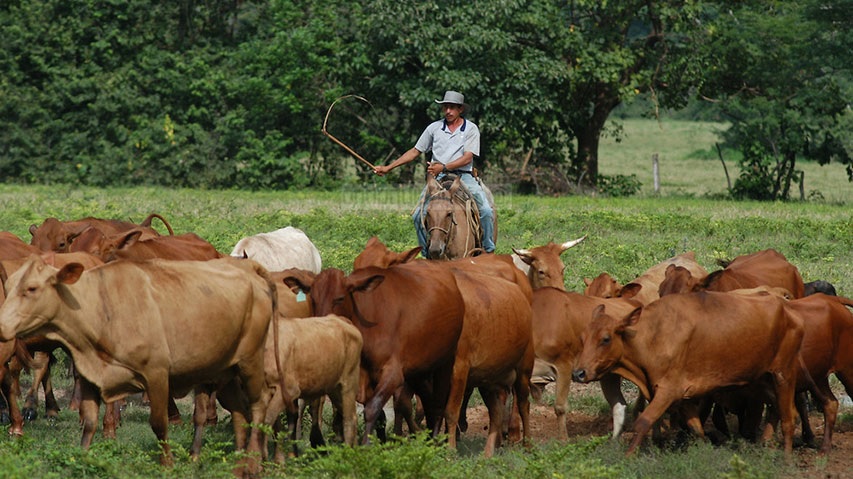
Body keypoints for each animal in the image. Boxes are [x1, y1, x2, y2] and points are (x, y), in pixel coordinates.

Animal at [0, 256, 272, 474]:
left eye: (31, 288)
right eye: (8, 286)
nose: (1, 326)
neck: (100, 309)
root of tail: (250, 269)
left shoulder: (156, 374)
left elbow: (159, 423)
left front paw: (167, 464)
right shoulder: (89, 375)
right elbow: (89, 423)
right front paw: (82, 459)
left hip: (251, 361)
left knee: (259, 405)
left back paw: (254, 462)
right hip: (225, 368)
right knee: (239, 411)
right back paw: (239, 462)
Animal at [282, 264, 462, 444]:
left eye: (340, 298)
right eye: (313, 299)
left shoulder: (393, 374)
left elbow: (372, 409)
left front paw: (366, 446)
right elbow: (380, 416)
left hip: (445, 362)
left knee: (439, 403)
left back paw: (437, 441)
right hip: (419, 370)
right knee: (428, 400)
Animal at [572, 292, 804, 458]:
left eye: (606, 339)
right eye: (583, 338)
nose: (578, 373)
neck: (654, 335)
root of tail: (788, 310)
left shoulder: (668, 391)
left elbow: (644, 422)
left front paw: (627, 458)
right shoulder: (683, 397)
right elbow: (696, 428)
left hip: (784, 374)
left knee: (788, 418)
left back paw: (786, 458)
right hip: (760, 380)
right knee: (781, 409)